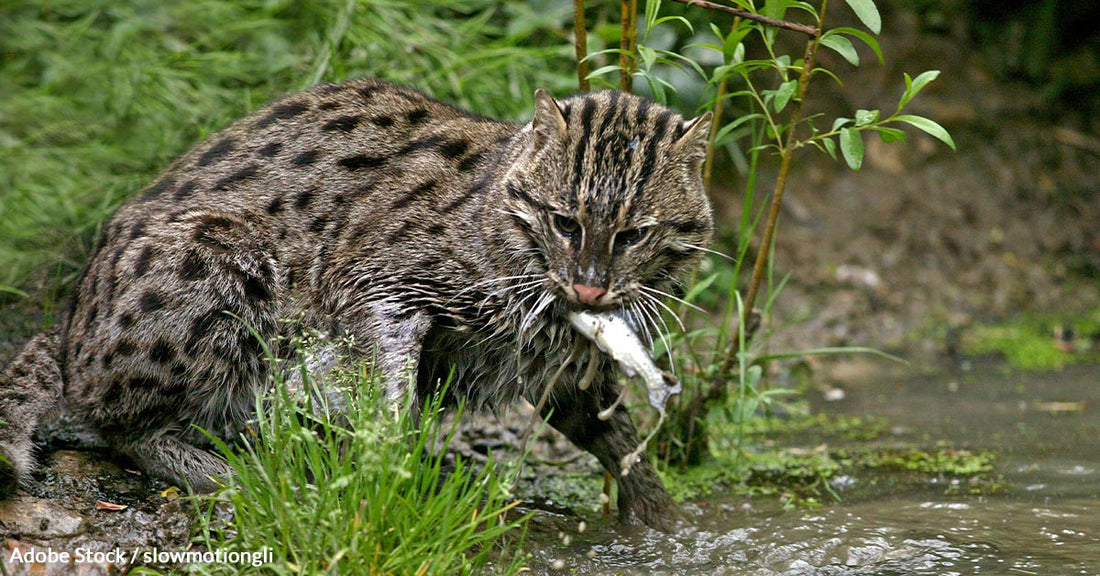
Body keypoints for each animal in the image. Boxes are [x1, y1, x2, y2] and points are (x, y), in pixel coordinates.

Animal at [0, 79, 712, 532]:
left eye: (634, 235)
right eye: (566, 222)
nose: (591, 289)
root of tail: (68, 320)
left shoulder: (558, 366)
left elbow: (615, 437)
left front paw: (663, 518)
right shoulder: (375, 277)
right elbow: (390, 373)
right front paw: (387, 454)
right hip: (220, 258)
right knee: (118, 418)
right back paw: (225, 470)